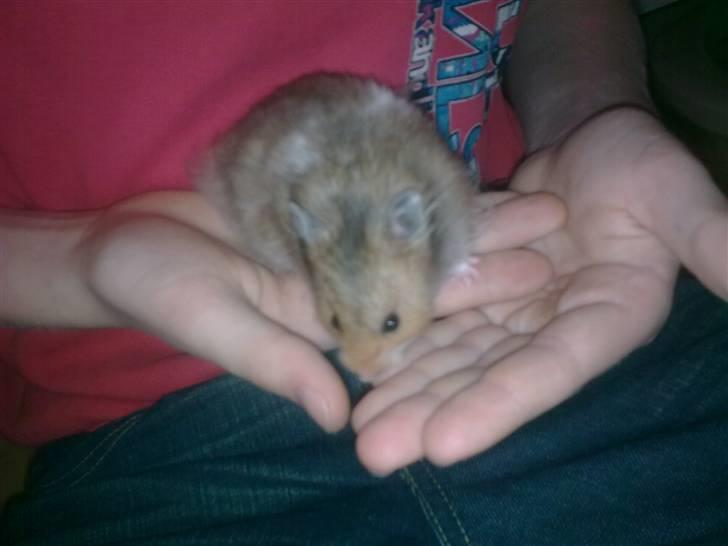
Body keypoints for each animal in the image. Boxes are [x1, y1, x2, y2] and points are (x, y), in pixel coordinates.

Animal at [196, 73, 476, 381]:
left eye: (392, 323)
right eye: (335, 322)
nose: (364, 376)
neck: (356, 207)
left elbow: (459, 254)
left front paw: (470, 275)